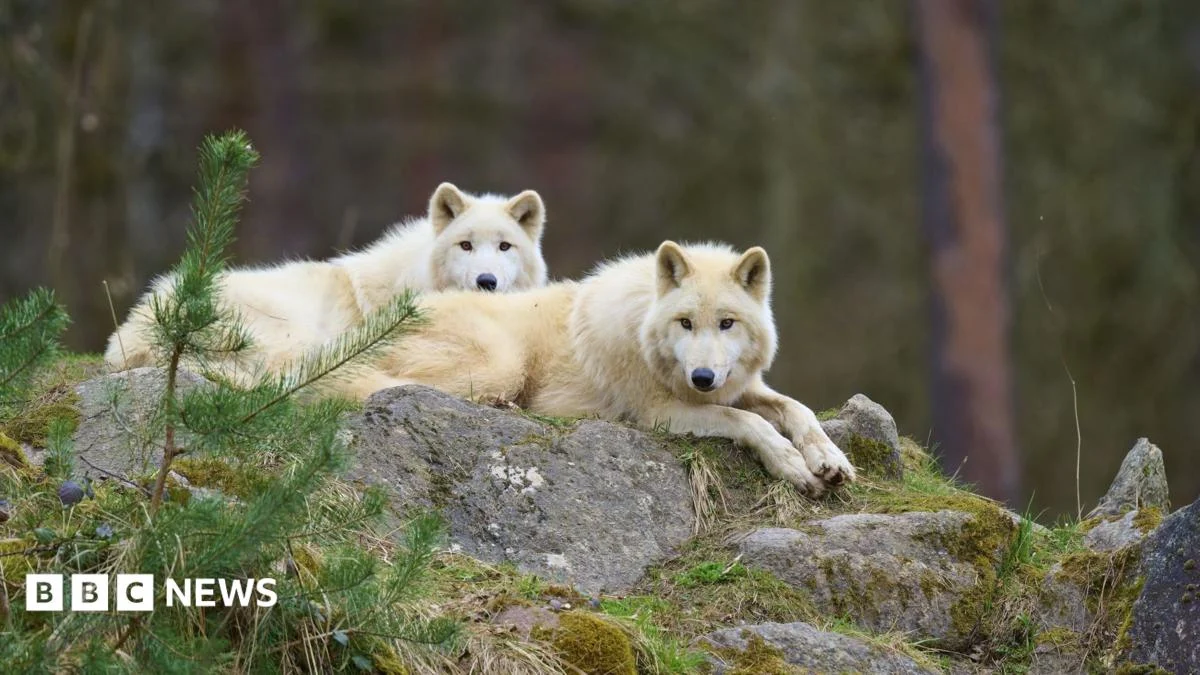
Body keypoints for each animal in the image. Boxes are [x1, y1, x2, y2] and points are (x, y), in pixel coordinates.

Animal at [345, 241, 856, 495]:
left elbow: (796, 409)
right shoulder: (658, 413)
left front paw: (829, 459)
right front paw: (792, 465)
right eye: (685, 323)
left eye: (727, 323)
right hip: (501, 364)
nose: (702, 378)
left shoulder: (735, 386)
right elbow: (747, 421)